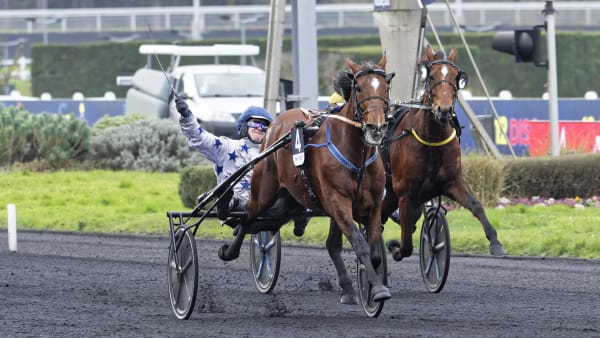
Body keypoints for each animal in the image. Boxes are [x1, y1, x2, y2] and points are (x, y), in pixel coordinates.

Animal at [218, 53, 396, 304]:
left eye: (385, 87)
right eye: (359, 88)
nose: (376, 127)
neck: (356, 155)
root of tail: (275, 125)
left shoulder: (371, 204)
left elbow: (374, 252)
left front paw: (371, 286)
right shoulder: (337, 200)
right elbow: (360, 245)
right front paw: (378, 289)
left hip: (293, 198)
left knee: (321, 241)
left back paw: (348, 290)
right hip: (265, 189)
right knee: (248, 217)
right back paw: (229, 247)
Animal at [380, 45, 506, 262]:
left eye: (456, 77)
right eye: (431, 76)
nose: (444, 110)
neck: (431, 140)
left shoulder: (452, 182)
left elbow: (475, 205)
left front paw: (495, 242)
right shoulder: (406, 194)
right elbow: (406, 244)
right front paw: (396, 247)